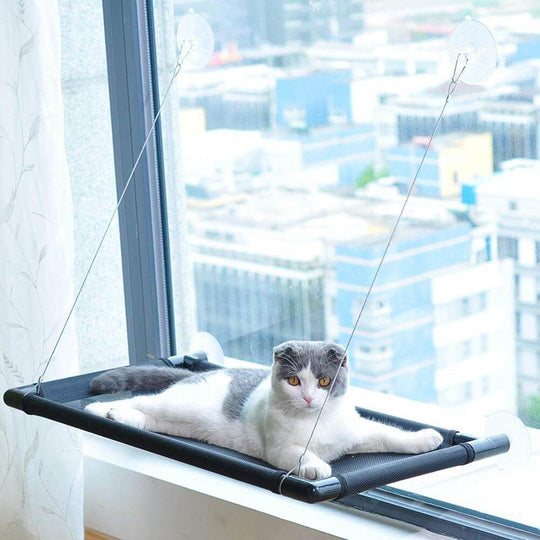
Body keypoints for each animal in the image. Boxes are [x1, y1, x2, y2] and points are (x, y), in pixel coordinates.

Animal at [85, 340, 442, 478]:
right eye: (295, 381)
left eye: (324, 381)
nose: (309, 397)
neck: (316, 423)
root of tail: (204, 372)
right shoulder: (280, 448)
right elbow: (300, 454)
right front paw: (317, 467)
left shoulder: (358, 432)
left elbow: (389, 435)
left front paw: (425, 439)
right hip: (176, 404)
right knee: (136, 401)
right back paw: (101, 411)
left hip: (174, 422)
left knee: (147, 418)